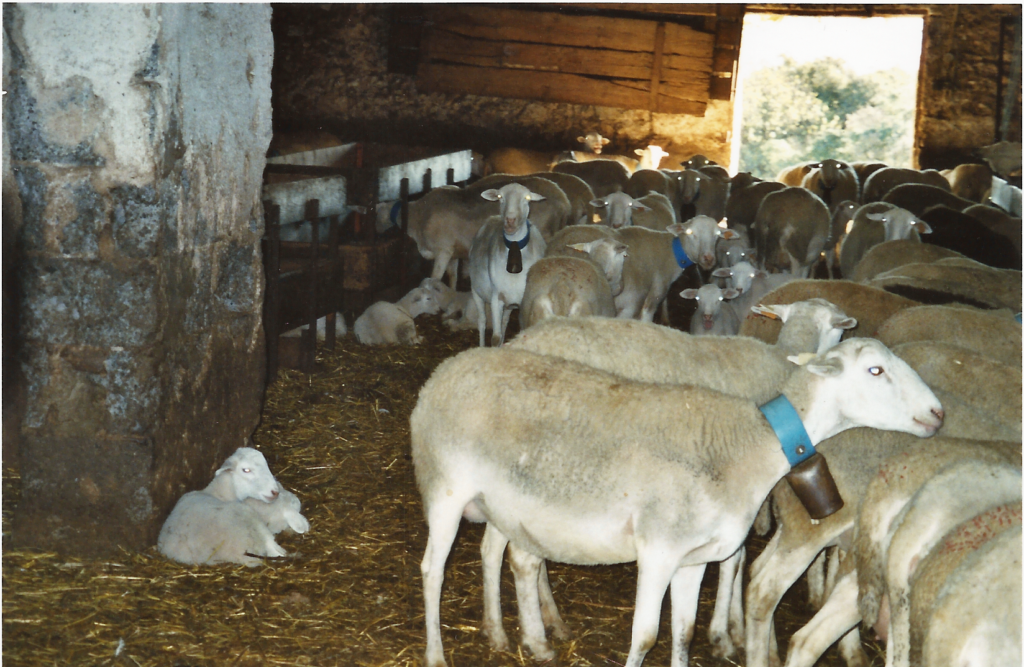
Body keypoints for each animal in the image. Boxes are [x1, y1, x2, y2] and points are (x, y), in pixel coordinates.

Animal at [409, 340, 942, 667]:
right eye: (876, 369)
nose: (938, 412)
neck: (750, 445)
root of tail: (443, 370)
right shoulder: (659, 550)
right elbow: (645, 635)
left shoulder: (694, 559)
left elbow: (682, 633)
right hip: (445, 488)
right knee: (433, 569)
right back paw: (436, 653)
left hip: (504, 504)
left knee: (499, 556)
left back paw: (509, 637)